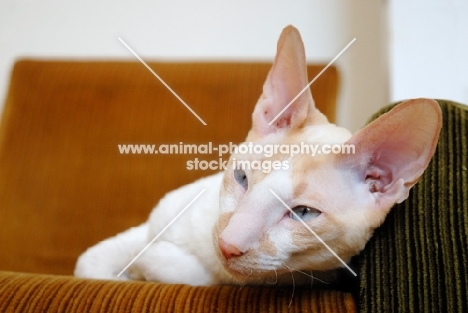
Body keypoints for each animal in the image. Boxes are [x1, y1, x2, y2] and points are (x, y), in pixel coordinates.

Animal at [74, 26, 442, 286]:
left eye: (304, 213)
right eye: (242, 178)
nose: (227, 244)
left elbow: (184, 271)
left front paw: (150, 265)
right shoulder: (150, 226)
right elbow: (89, 263)